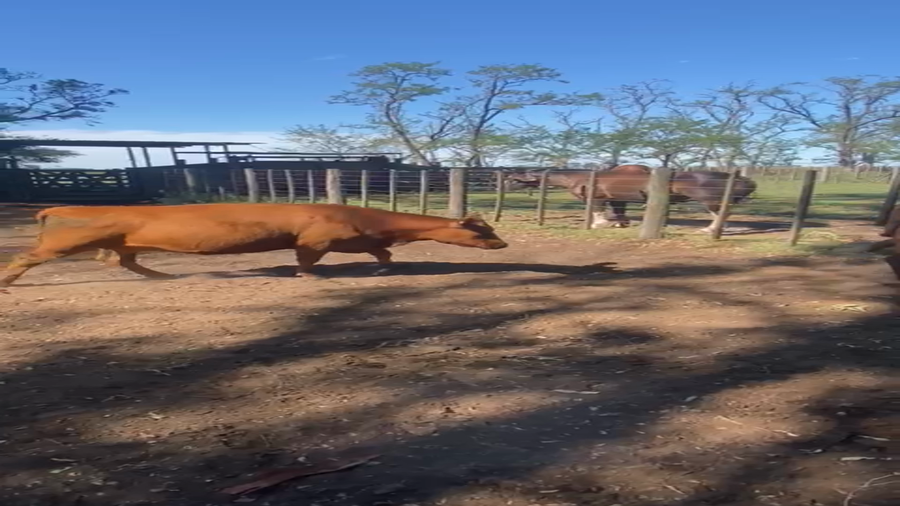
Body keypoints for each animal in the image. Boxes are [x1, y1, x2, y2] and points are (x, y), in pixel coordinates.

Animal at [503, 164, 757, 233]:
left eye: (516, 177)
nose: (504, 184)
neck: (581, 177)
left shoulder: (597, 198)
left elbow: (596, 212)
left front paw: (599, 224)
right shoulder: (617, 199)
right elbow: (619, 213)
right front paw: (619, 224)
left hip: (709, 201)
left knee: (720, 214)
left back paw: (710, 229)